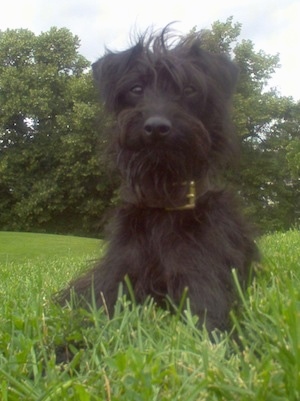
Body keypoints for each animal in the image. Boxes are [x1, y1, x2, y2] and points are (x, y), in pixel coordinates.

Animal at [61, 28, 258, 332]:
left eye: (189, 89)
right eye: (136, 89)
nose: (156, 127)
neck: (164, 200)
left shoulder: (201, 276)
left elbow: (209, 324)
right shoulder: (116, 277)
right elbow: (93, 319)